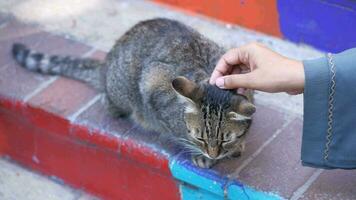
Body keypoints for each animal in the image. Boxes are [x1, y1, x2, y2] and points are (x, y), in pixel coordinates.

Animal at [11, 18, 256, 168]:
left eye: (226, 140)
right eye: (200, 137)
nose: (213, 154)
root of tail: (106, 65)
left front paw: (236, 147)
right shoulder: (153, 84)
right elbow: (177, 133)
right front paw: (199, 154)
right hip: (121, 94)